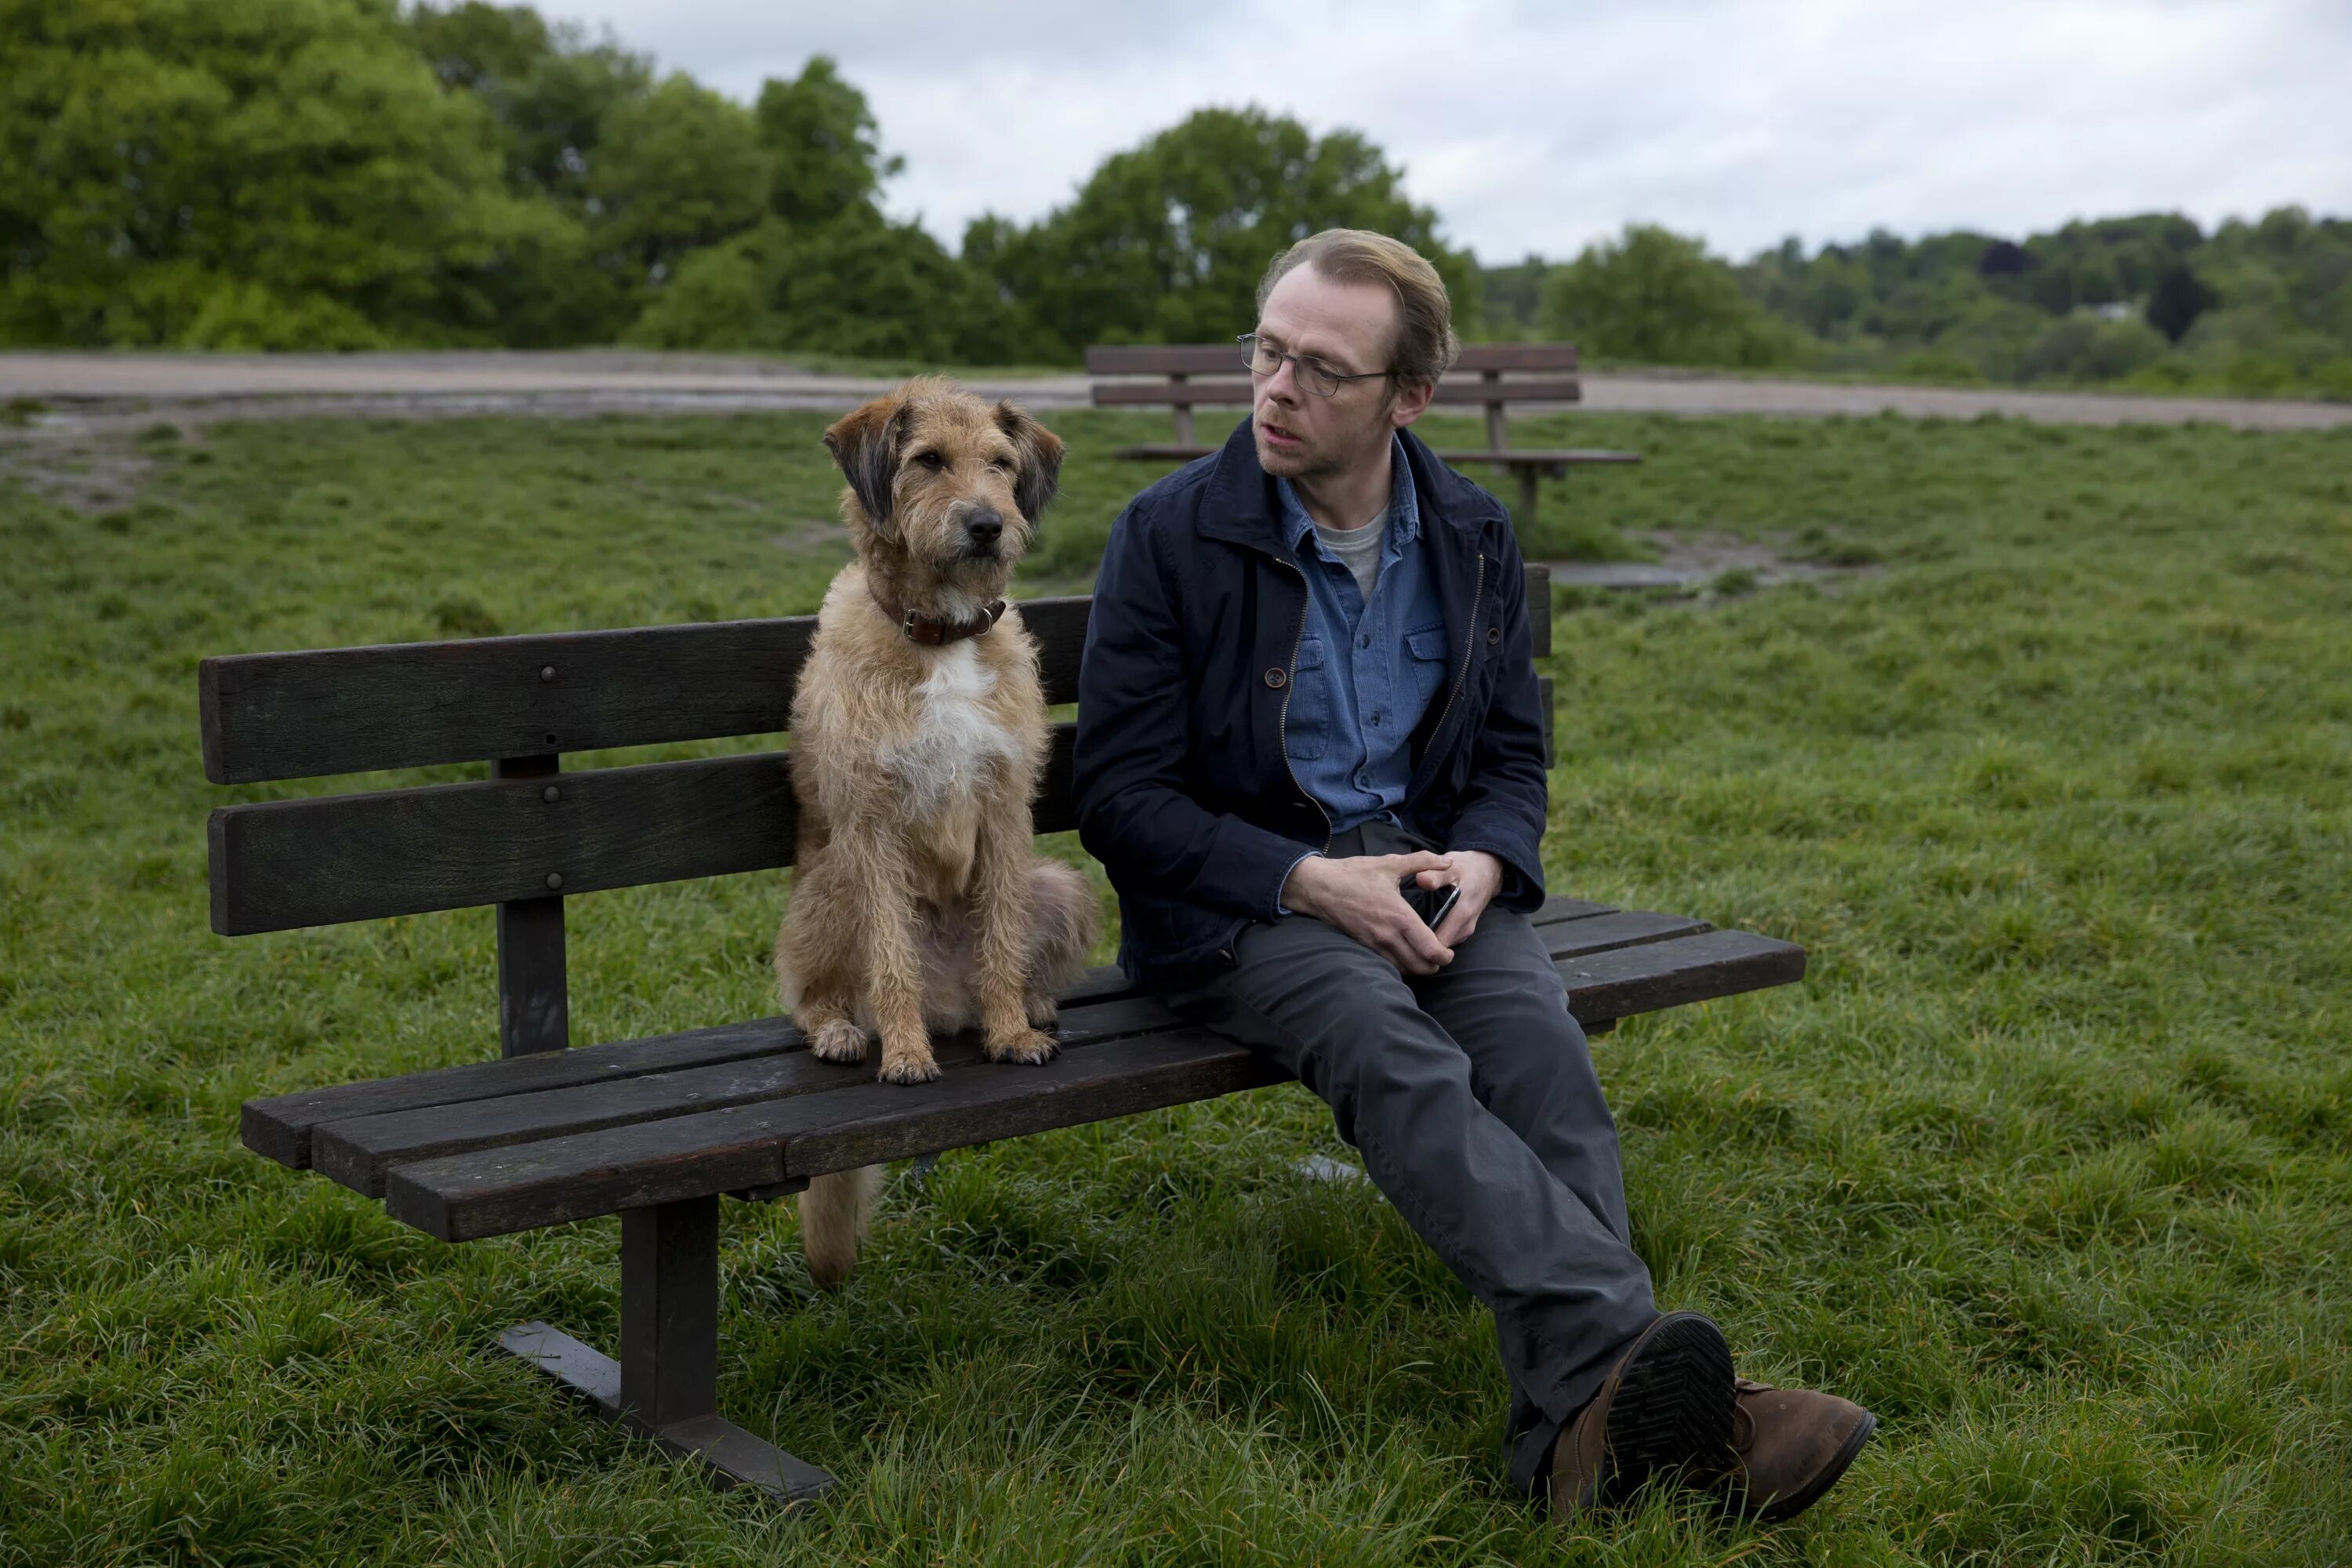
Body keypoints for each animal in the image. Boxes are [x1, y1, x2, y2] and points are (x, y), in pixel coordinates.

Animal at [776, 380, 1096, 1288]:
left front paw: (1012, 1031)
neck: (943, 633)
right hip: (832, 884)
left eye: (1001, 463)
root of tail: (949, 1003)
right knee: (812, 991)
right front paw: (904, 1054)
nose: (986, 524)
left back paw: (1026, 1005)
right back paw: (849, 1029)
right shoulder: (870, 823)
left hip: (1057, 882)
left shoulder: (1007, 806)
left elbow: (1001, 934)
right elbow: (888, 959)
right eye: (926, 461)